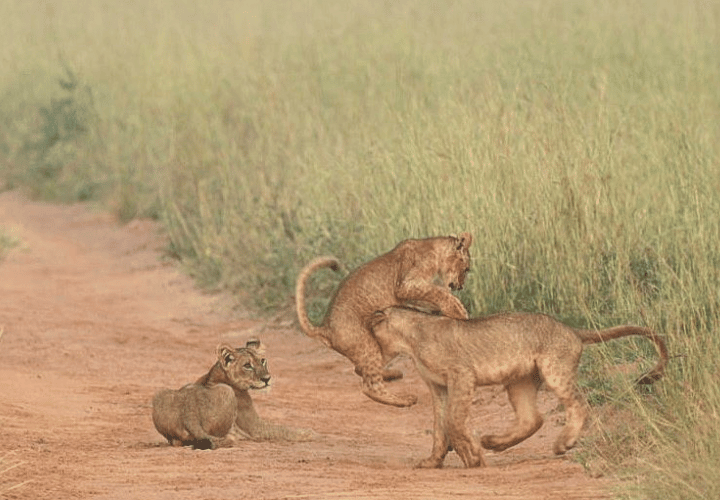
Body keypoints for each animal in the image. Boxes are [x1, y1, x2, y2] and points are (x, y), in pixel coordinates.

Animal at [152, 340, 313, 449]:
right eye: (247, 365)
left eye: (263, 361)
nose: (267, 379)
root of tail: (189, 412)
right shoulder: (254, 427)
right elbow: (284, 430)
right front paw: (311, 434)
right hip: (226, 392)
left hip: (159, 393)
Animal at [295, 233, 473, 407]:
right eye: (466, 269)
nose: (461, 286)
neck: (435, 251)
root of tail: (325, 328)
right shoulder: (405, 285)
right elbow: (438, 292)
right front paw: (459, 310)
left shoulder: (408, 295)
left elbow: (431, 296)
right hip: (366, 345)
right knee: (369, 385)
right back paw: (404, 400)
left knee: (360, 369)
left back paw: (392, 375)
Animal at [368, 306, 668, 468]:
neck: (410, 337)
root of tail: (572, 330)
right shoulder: (438, 387)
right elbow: (439, 428)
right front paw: (432, 462)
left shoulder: (461, 375)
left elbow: (453, 421)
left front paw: (471, 456)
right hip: (519, 382)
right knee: (532, 419)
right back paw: (494, 442)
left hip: (554, 369)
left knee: (579, 404)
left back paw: (563, 442)